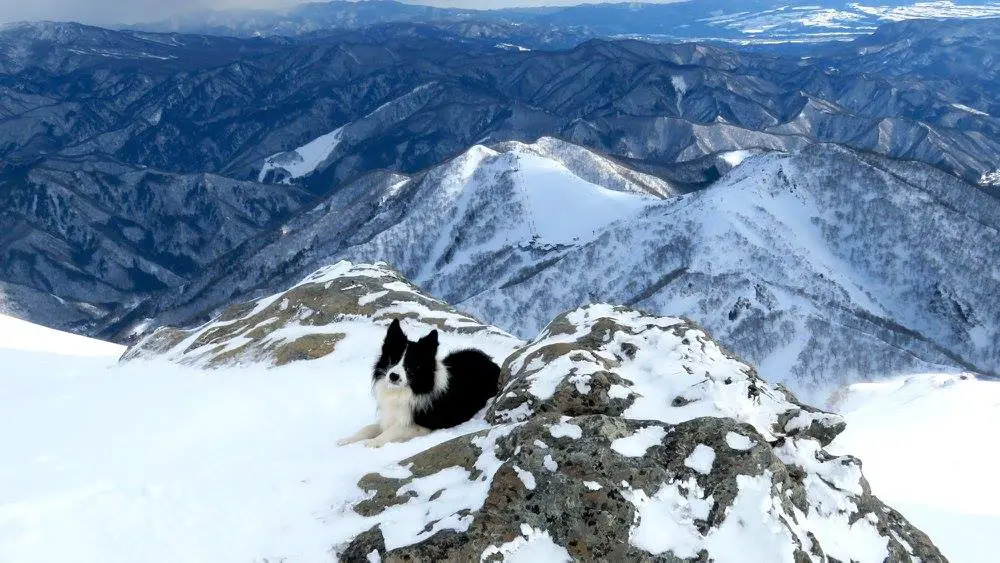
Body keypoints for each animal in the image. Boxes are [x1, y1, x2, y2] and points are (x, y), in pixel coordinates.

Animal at [340, 322, 500, 450]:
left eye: (412, 365)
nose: (393, 376)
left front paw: (372, 442)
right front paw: (348, 439)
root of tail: (490, 361)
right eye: (393, 359)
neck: (406, 391)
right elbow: (369, 428)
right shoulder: (391, 416)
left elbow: (394, 430)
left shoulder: (425, 425)